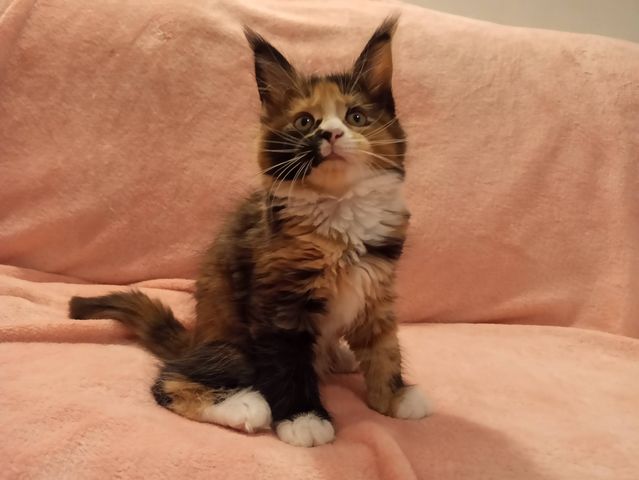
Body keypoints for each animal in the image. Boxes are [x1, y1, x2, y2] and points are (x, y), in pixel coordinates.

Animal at [69, 16, 431, 448]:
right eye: (305, 122)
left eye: (356, 117)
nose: (330, 134)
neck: (340, 212)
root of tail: (196, 338)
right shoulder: (280, 304)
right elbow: (290, 363)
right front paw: (305, 419)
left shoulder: (376, 289)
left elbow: (383, 347)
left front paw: (395, 396)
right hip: (233, 347)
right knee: (171, 380)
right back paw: (244, 404)